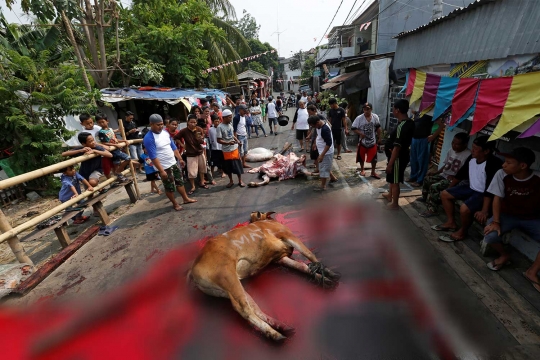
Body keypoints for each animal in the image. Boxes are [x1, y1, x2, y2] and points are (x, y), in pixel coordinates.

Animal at [190, 212, 340, 342]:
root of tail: (193, 269)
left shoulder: (280, 258)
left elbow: (303, 266)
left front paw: (324, 277)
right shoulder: (286, 234)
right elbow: (309, 254)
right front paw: (328, 272)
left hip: (225, 289)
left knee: (253, 305)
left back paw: (280, 325)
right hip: (227, 276)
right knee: (243, 309)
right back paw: (274, 334)